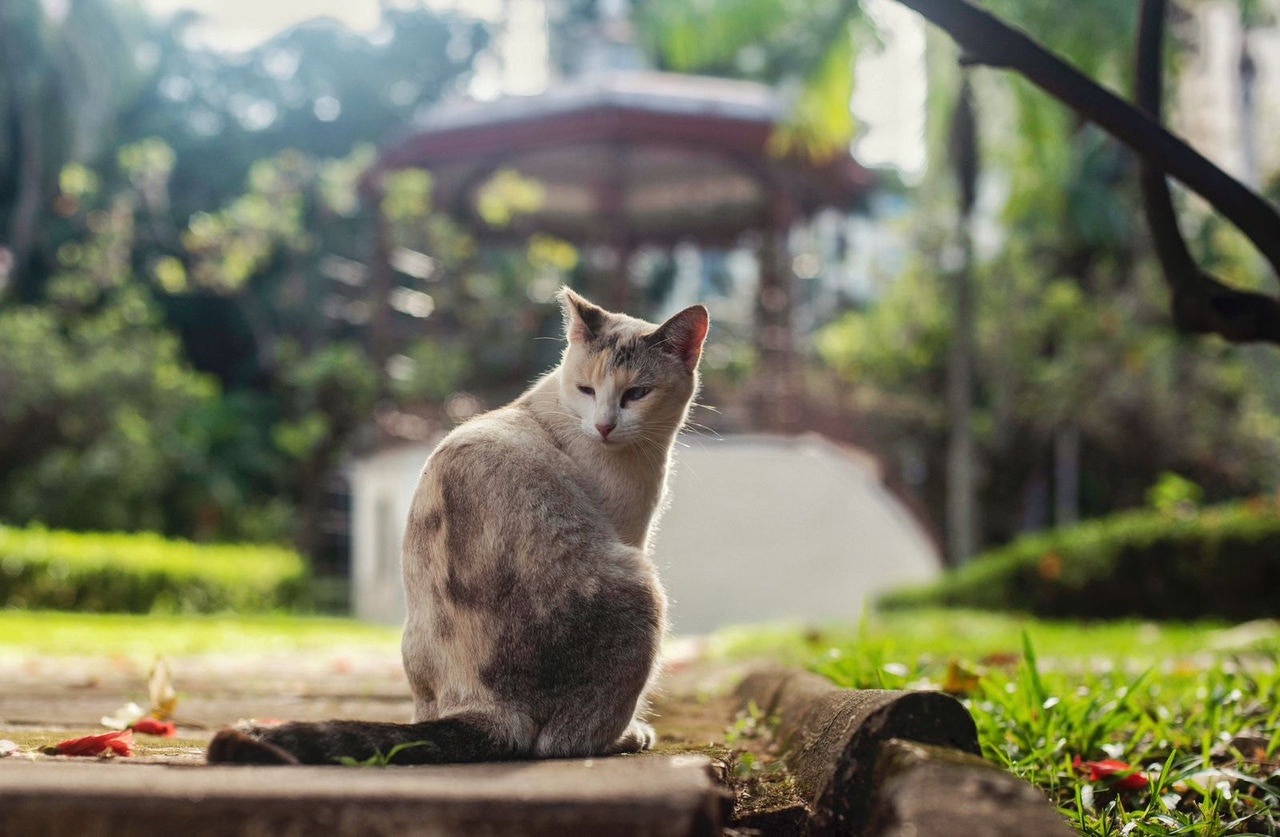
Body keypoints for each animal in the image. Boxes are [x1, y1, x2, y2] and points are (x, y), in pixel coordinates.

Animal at [208, 289, 711, 767]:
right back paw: (631, 736)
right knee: (563, 743)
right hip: (642, 584)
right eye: (587, 389)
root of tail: (483, 705)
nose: (604, 426)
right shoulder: (631, 533)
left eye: (636, 394)